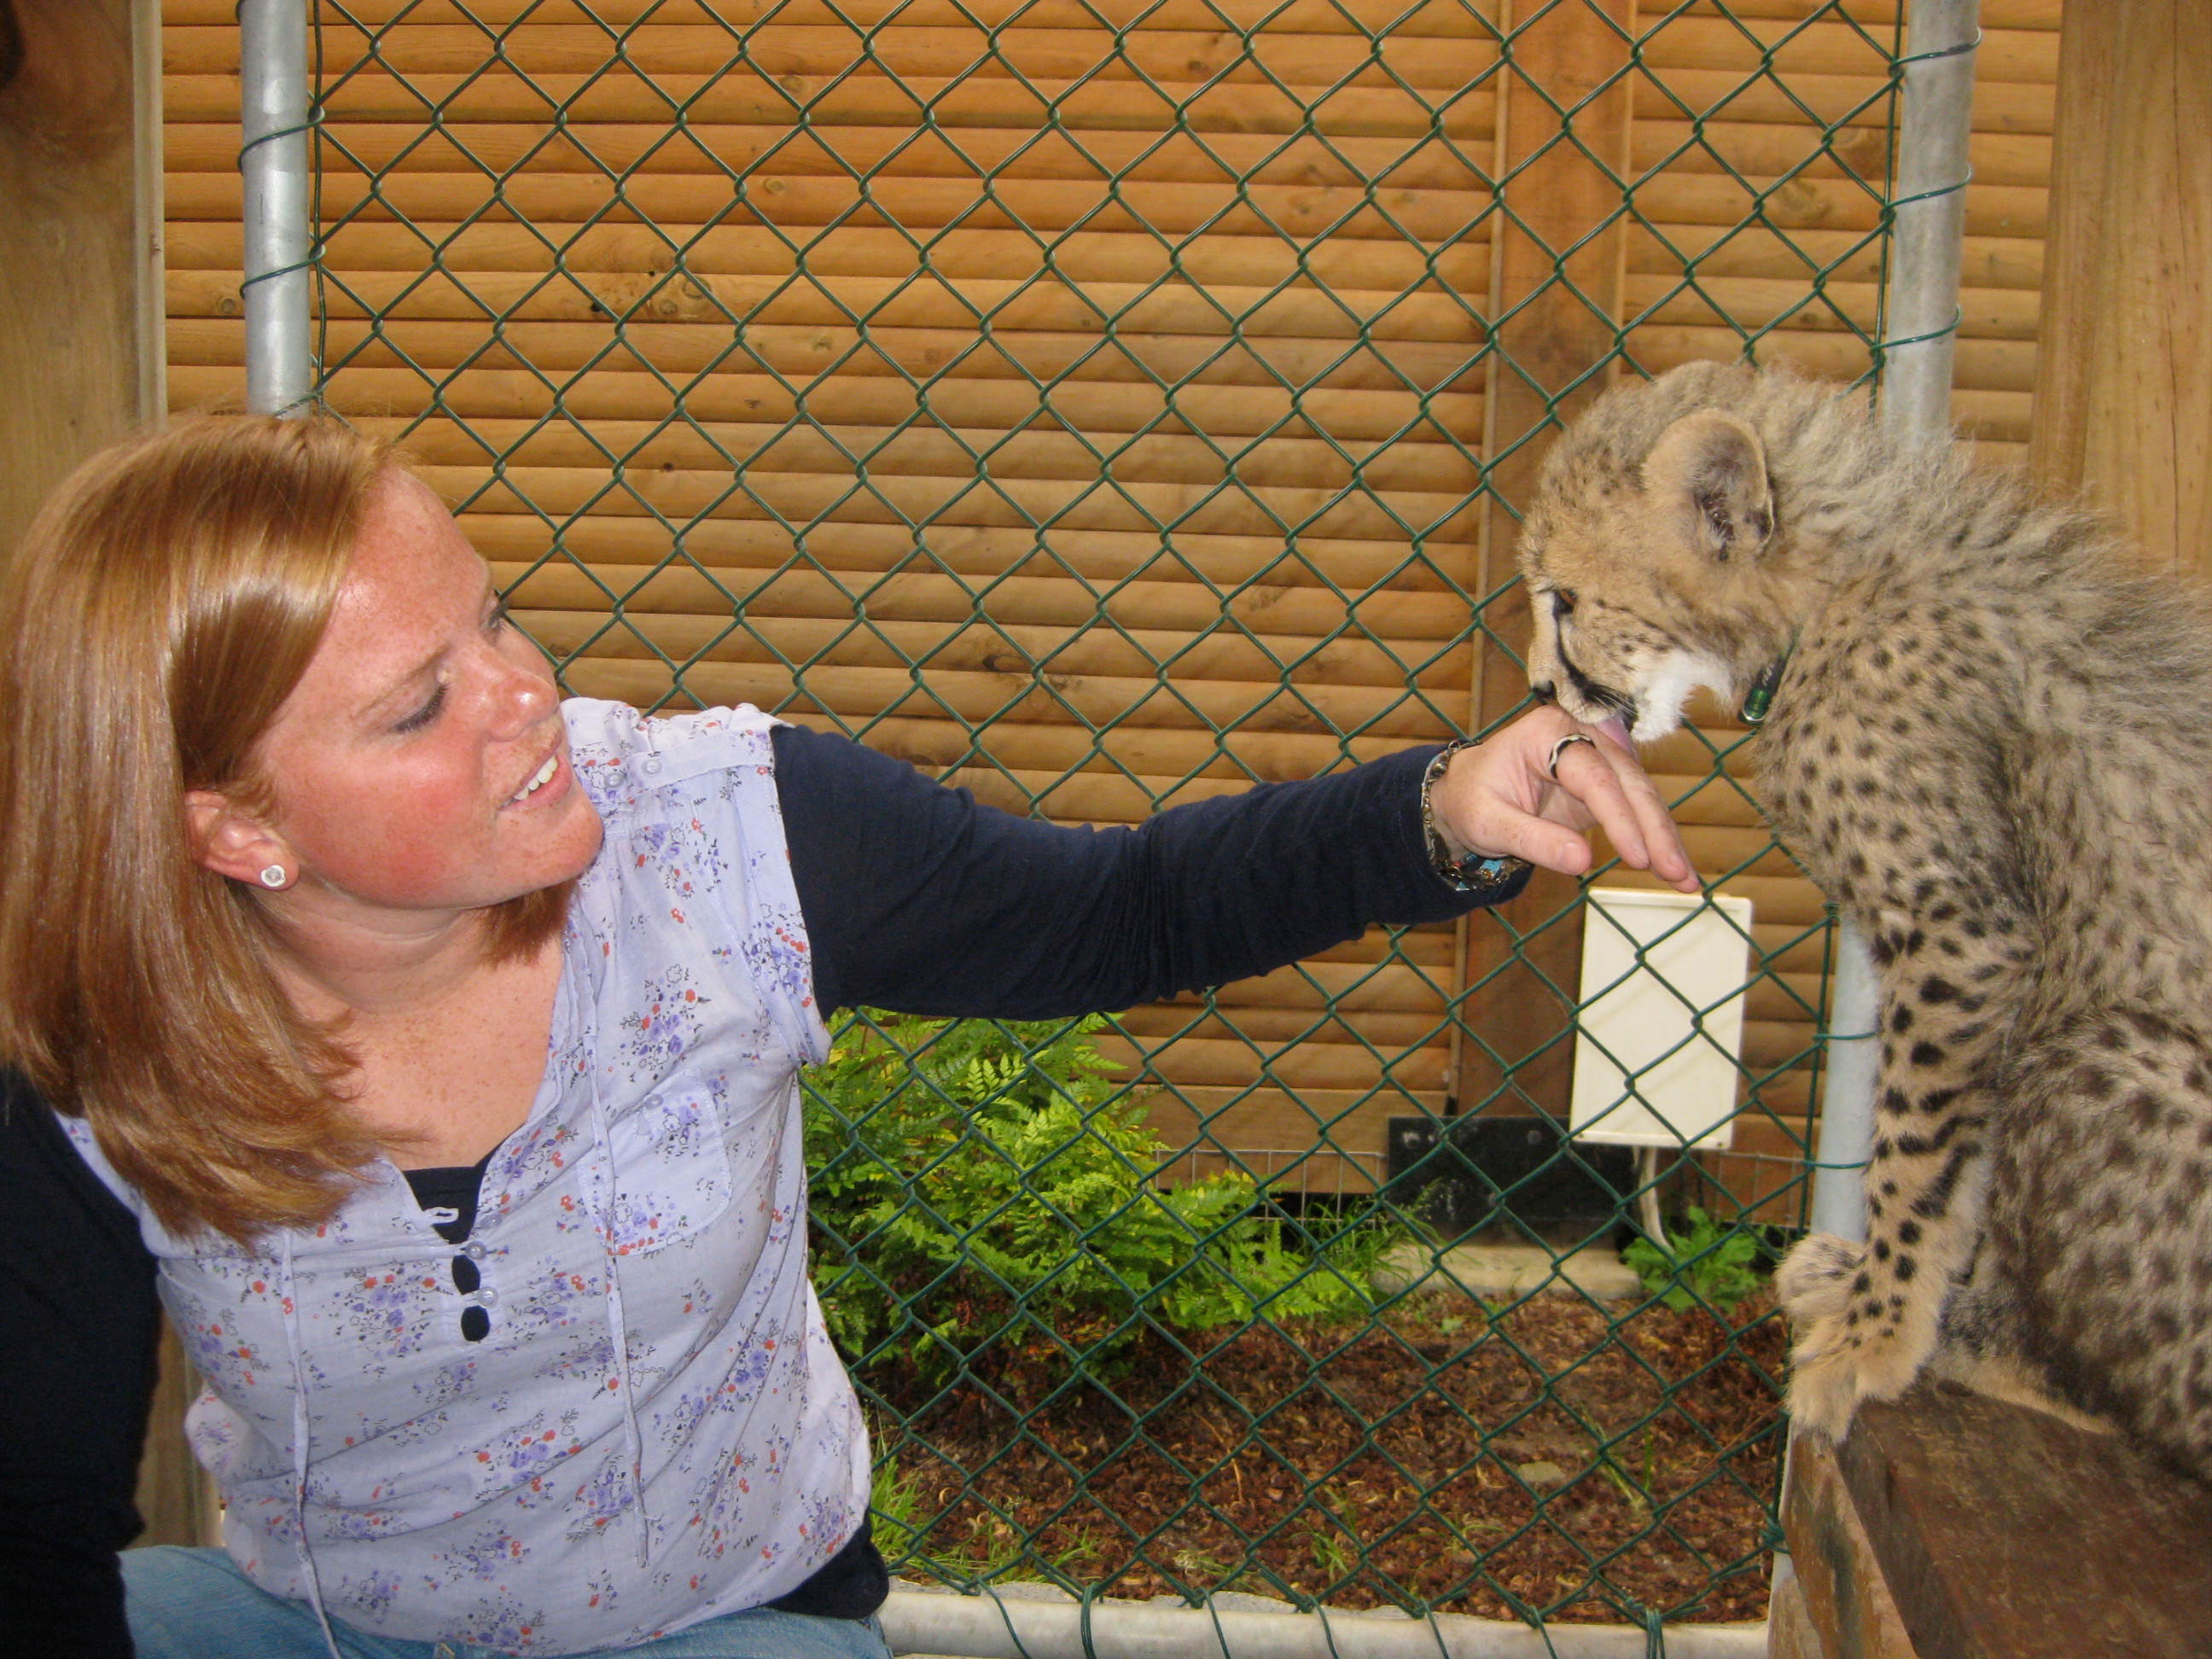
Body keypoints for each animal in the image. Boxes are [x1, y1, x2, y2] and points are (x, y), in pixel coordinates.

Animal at [1513, 357, 2212, 1481]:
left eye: (1568, 599)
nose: (1542, 689)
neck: (1822, 597)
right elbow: (1959, 1170)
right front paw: (1882, 1305)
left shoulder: (1964, 931)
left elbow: (1914, 1159)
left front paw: (1877, 1332)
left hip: (2104, 1057)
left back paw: (1995, 1347)